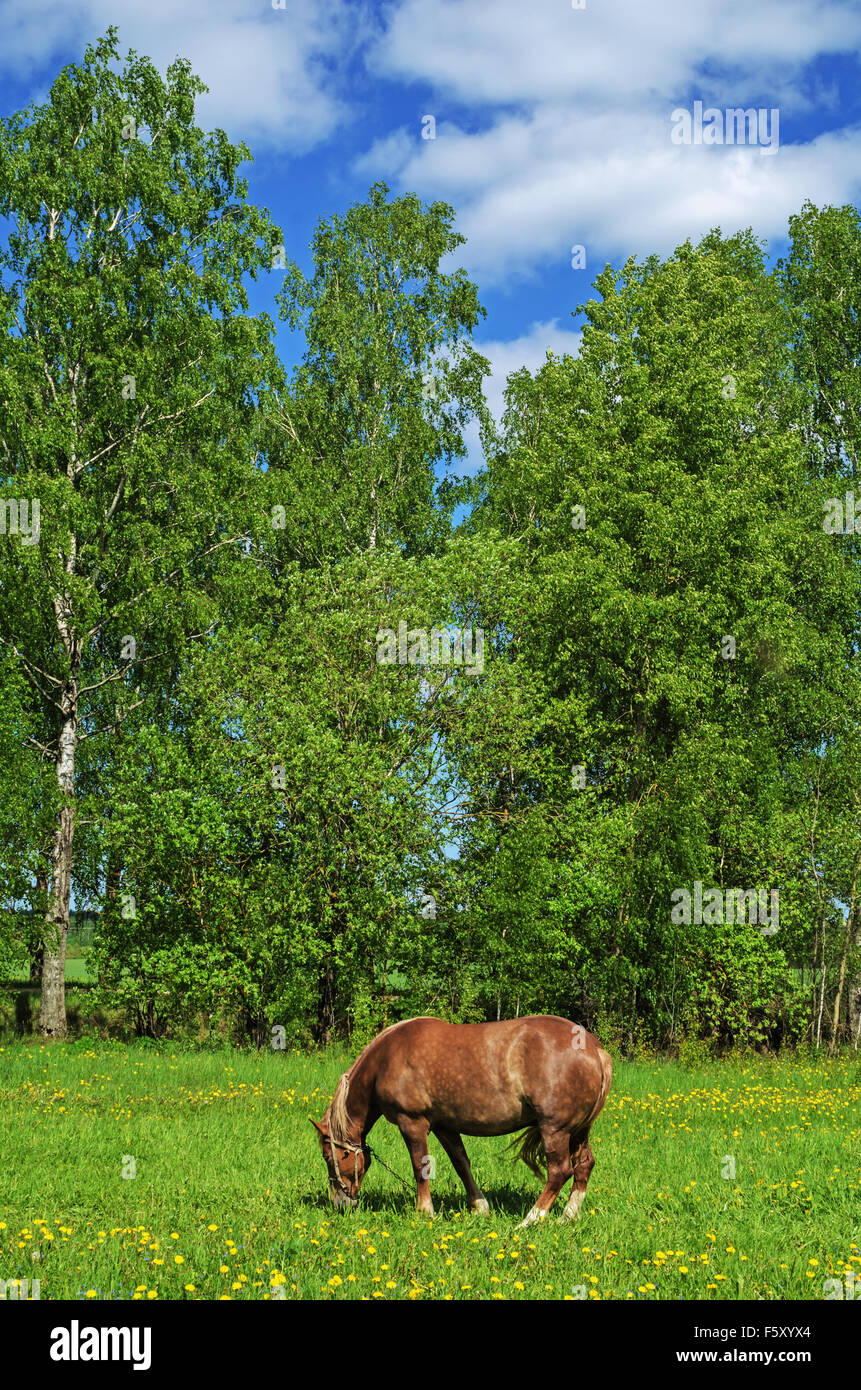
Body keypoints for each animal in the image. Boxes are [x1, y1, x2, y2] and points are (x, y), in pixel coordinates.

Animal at [310, 1011, 612, 1228]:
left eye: (327, 1156)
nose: (340, 1204)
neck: (387, 1059)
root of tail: (595, 1050)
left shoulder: (413, 1123)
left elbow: (420, 1167)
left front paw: (425, 1212)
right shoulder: (445, 1127)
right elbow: (461, 1164)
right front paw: (480, 1208)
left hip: (555, 1130)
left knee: (560, 1171)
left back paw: (530, 1220)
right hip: (578, 1131)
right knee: (584, 1164)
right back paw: (568, 1216)